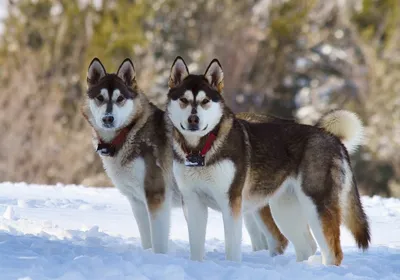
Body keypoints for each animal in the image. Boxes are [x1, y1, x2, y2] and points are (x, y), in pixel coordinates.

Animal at [81, 58, 178, 253]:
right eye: (100, 98)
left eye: (120, 98)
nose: (108, 118)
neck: (128, 133)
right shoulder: (137, 202)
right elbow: (147, 240)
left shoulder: (157, 196)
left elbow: (158, 243)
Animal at [165, 56, 368, 264]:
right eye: (183, 100)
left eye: (205, 101)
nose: (193, 120)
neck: (201, 149)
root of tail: (333, 138)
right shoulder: (192, 202)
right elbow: (196, 248)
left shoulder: (231, 203)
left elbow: (232, 248)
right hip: (285, 208)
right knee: (307, 246)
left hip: (316, 206)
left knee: (333, 253)